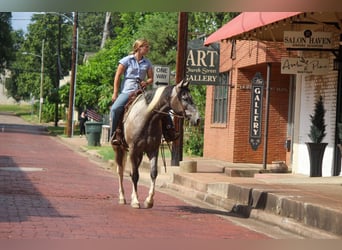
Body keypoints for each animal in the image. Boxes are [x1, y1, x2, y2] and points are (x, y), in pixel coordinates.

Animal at [111, 80, 202, 209]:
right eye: (185, 98)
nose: (198, 119)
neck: (147, 118)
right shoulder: (133, 150)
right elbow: (135, 175)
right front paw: (135, 202)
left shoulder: (153, 150)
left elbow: (153, 173)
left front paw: (149, 201)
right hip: (119, 148)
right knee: (120, 171)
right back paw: (122, 197)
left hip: (139, 153)